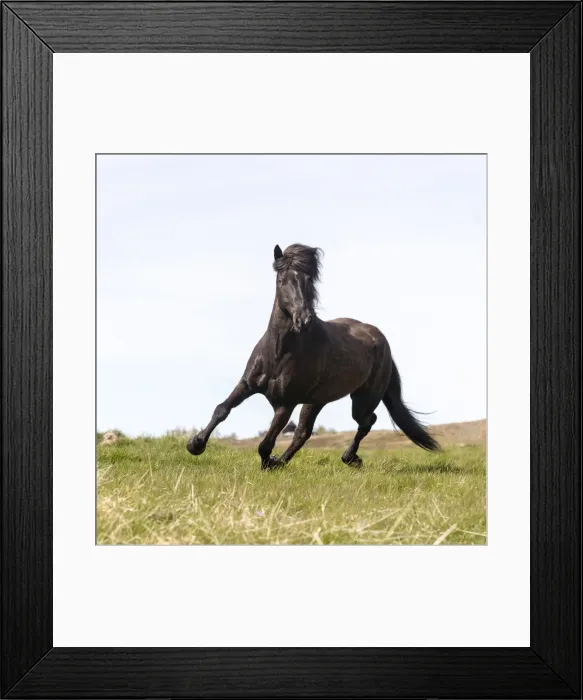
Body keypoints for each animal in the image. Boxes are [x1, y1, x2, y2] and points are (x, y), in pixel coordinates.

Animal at [187, 244, 440, 469]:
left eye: (309, 280)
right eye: (282, 280)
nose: (304, 320)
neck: (279, 352)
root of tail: (380, 340)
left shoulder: (285, 403)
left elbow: (266, 442)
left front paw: (268, 463)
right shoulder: (247, 384)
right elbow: (222, 409)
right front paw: (195, 444)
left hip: (362, 399)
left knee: (366, 421)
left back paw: (349, 458)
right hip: (316, 401)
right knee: (304, 432)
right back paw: (285, 461)